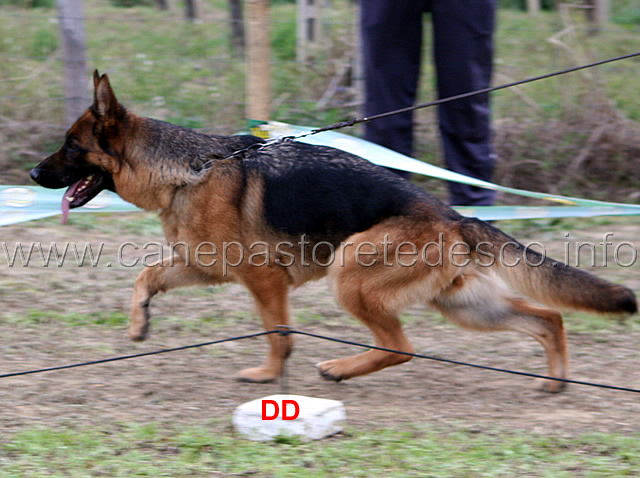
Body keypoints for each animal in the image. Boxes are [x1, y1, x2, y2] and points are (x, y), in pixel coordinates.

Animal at [31, 72, 636, 392]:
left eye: (70, 145)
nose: (32, 174)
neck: (188, 170)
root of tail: (452, 215)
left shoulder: (263, 281)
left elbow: (278, 334)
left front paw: (269, 377)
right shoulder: (204, 266)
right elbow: (147, 276)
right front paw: (139, 324)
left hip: (352, 276)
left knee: (400, 346)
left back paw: (341, 368)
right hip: (463, 305)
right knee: (549, 319)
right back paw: (556, 381)